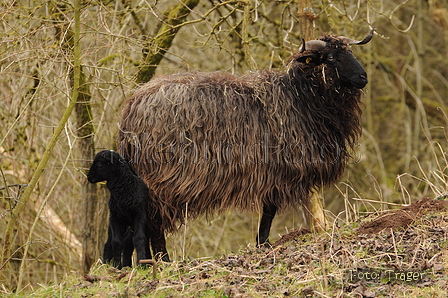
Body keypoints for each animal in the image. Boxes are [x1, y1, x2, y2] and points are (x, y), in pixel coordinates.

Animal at [116, 29, 374, 255]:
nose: (363, 77)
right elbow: (269, 211)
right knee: (155, 221)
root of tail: (132, 108)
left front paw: (262, 243)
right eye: (330, 57)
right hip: (161, 181)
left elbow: (269, 209)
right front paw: (263, 243)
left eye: (350, 51)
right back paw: (163, 259)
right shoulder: (276, 170)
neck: (299, 97)